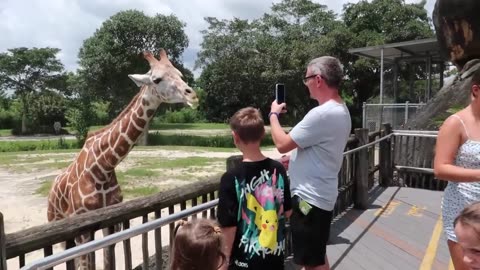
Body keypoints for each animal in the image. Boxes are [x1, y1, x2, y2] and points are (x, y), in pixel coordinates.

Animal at [47, 49, 197, 270]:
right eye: (156, 79)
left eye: (180, 74)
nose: (192, 96)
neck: (103, 167)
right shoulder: (81, 228)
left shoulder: (111, 223)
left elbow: (107, 262)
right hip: (55, 222)